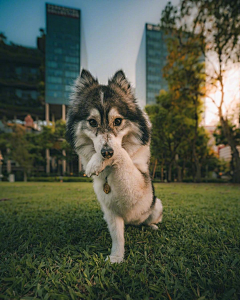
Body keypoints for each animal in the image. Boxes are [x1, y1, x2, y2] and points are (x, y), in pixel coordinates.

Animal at [65, 69, 163, 262]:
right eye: (92, 122)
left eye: (117, 121)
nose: (106, 152)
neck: (110, 169)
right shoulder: (109, 209)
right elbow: (117, 235)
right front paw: (116, 257)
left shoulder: (141, 187)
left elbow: (122, 152)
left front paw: (96, 162)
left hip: (157, 205)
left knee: (150, 220)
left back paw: (152, 226)